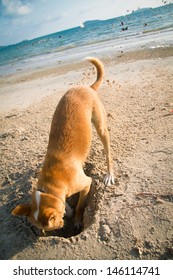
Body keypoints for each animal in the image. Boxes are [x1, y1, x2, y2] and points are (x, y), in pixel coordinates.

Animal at [12, 57, 115, 232]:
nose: (61, 225)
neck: (50, 187)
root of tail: (88, 88)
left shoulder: (86, 184)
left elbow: (80, 206)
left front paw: (77, 219)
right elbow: (65, 203)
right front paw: (68, 209)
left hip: (101, 127)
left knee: (108, 154)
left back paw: (109, 174)